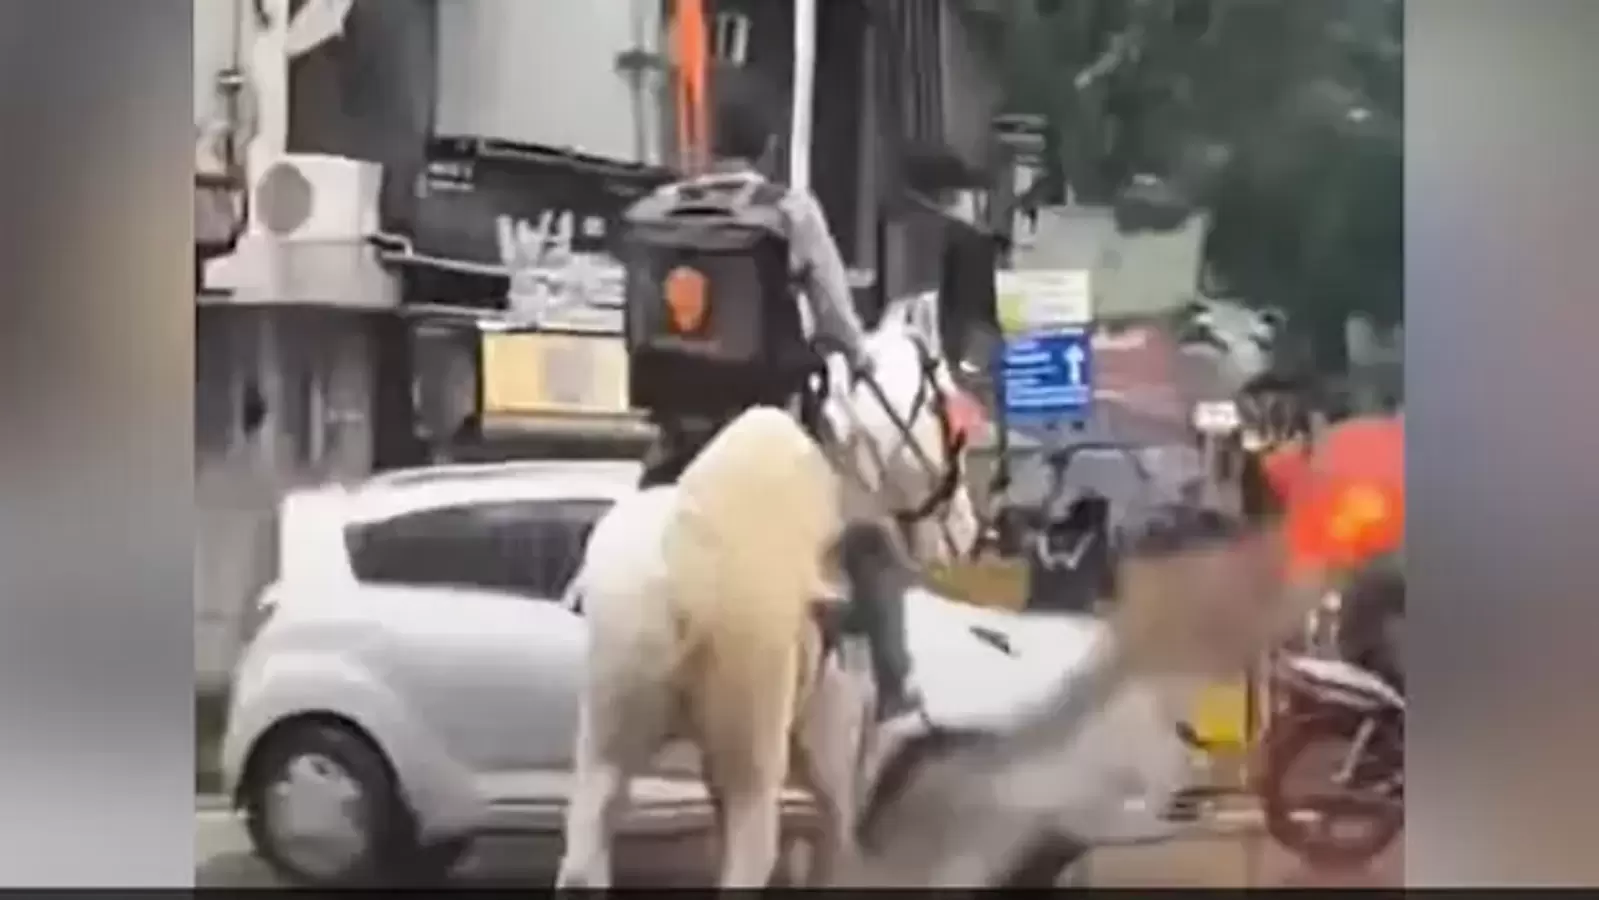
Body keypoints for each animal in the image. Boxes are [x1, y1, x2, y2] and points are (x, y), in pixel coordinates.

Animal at [553, 314, 972, 888]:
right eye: (942, 402)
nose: (969, 530)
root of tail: (681, 579)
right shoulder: (834, 748)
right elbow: (834, 846)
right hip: (751, 753)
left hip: (605, 744)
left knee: (584, 857)